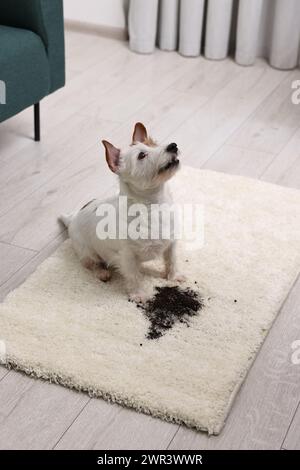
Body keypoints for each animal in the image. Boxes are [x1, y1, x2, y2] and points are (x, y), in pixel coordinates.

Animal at [59, 123, 183, 302]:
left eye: (155, 144)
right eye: (142, 155)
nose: (173, 146)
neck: (153, 206)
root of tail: (72, 218)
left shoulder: (171, 243)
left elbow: (172, 260)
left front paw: (174, 277)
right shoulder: (127, 256)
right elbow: (133, 276)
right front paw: (138, 294)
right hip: (86, 252)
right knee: (90, 264)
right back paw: (102, 273)